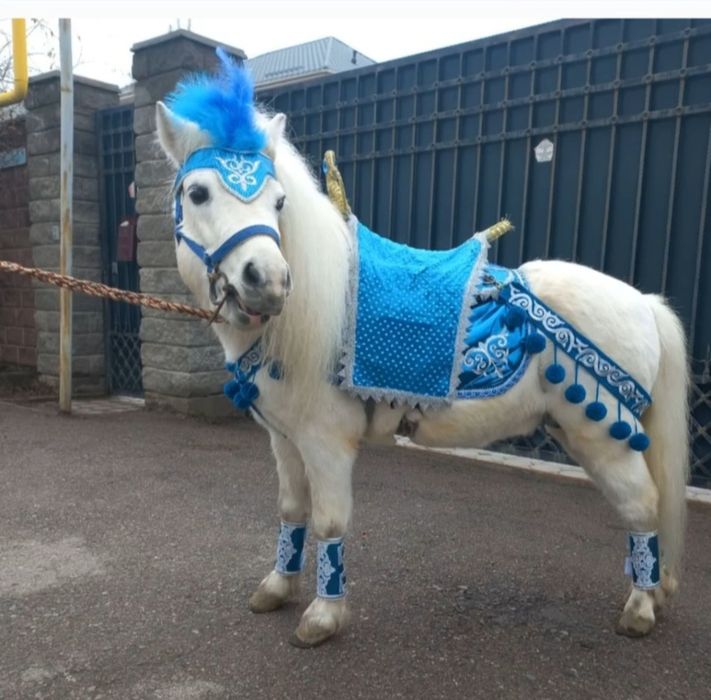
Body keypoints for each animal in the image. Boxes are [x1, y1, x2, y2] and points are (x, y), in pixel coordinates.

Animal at [154, 50, 689, 647]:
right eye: (198, 193)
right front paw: (276, 587)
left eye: (279, 201)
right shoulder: (284, 440)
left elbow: (329, 521)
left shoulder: (325, 442)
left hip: (604, 437)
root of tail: (643, 302)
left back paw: (640, 607)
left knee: (643, 505)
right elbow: (291, 509)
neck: (308, 317)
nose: (266, 281)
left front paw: (322, 615)